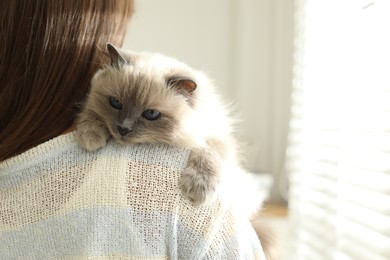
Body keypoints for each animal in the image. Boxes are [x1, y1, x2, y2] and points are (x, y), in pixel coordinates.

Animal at [74, 42, 236, 205]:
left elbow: (209, 150)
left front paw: (200, 187)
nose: (123, 129)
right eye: (115, 102)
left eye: (151, 114)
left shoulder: (217, 135)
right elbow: (90, 111)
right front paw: (90, 136)